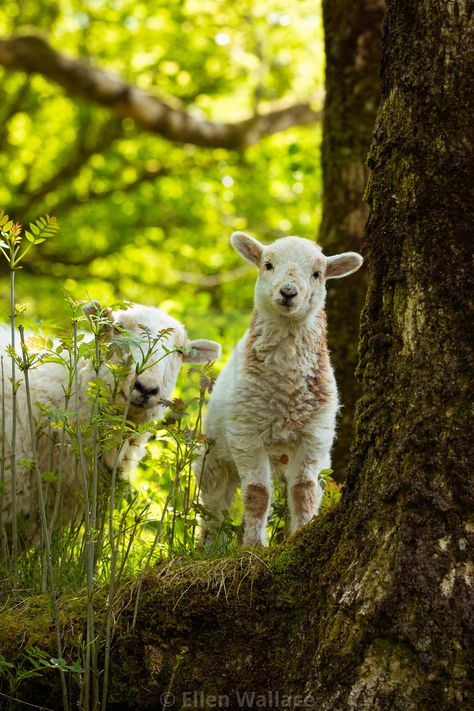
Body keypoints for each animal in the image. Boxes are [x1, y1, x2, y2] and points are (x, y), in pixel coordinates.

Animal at [196, 234, 362, 552]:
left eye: (318, 273)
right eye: (268, 265)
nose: (288, 292)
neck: (286, 392)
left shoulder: (314, 437)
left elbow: (304, 491)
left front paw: (300, 534)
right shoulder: (246, 434)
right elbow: (257, 494)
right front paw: (252, 547)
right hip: (214, 460)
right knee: (213, 508)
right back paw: (209, 549)